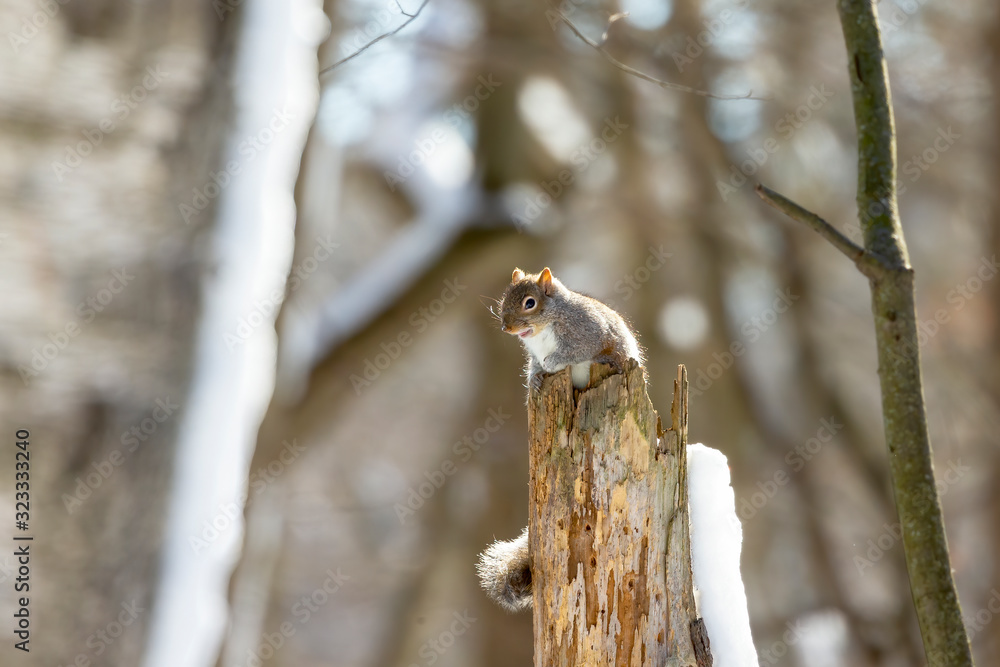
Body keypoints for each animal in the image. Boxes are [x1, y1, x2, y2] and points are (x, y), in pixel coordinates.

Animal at [478, 268, 648, 612]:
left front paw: (553, 363)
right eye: (504, 299)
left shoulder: (587, 334)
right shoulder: (533, 353)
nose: (506, 327)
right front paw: (535, 380)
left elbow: (573, 352)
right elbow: (534, 366)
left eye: (530, 302)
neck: (544, 328)